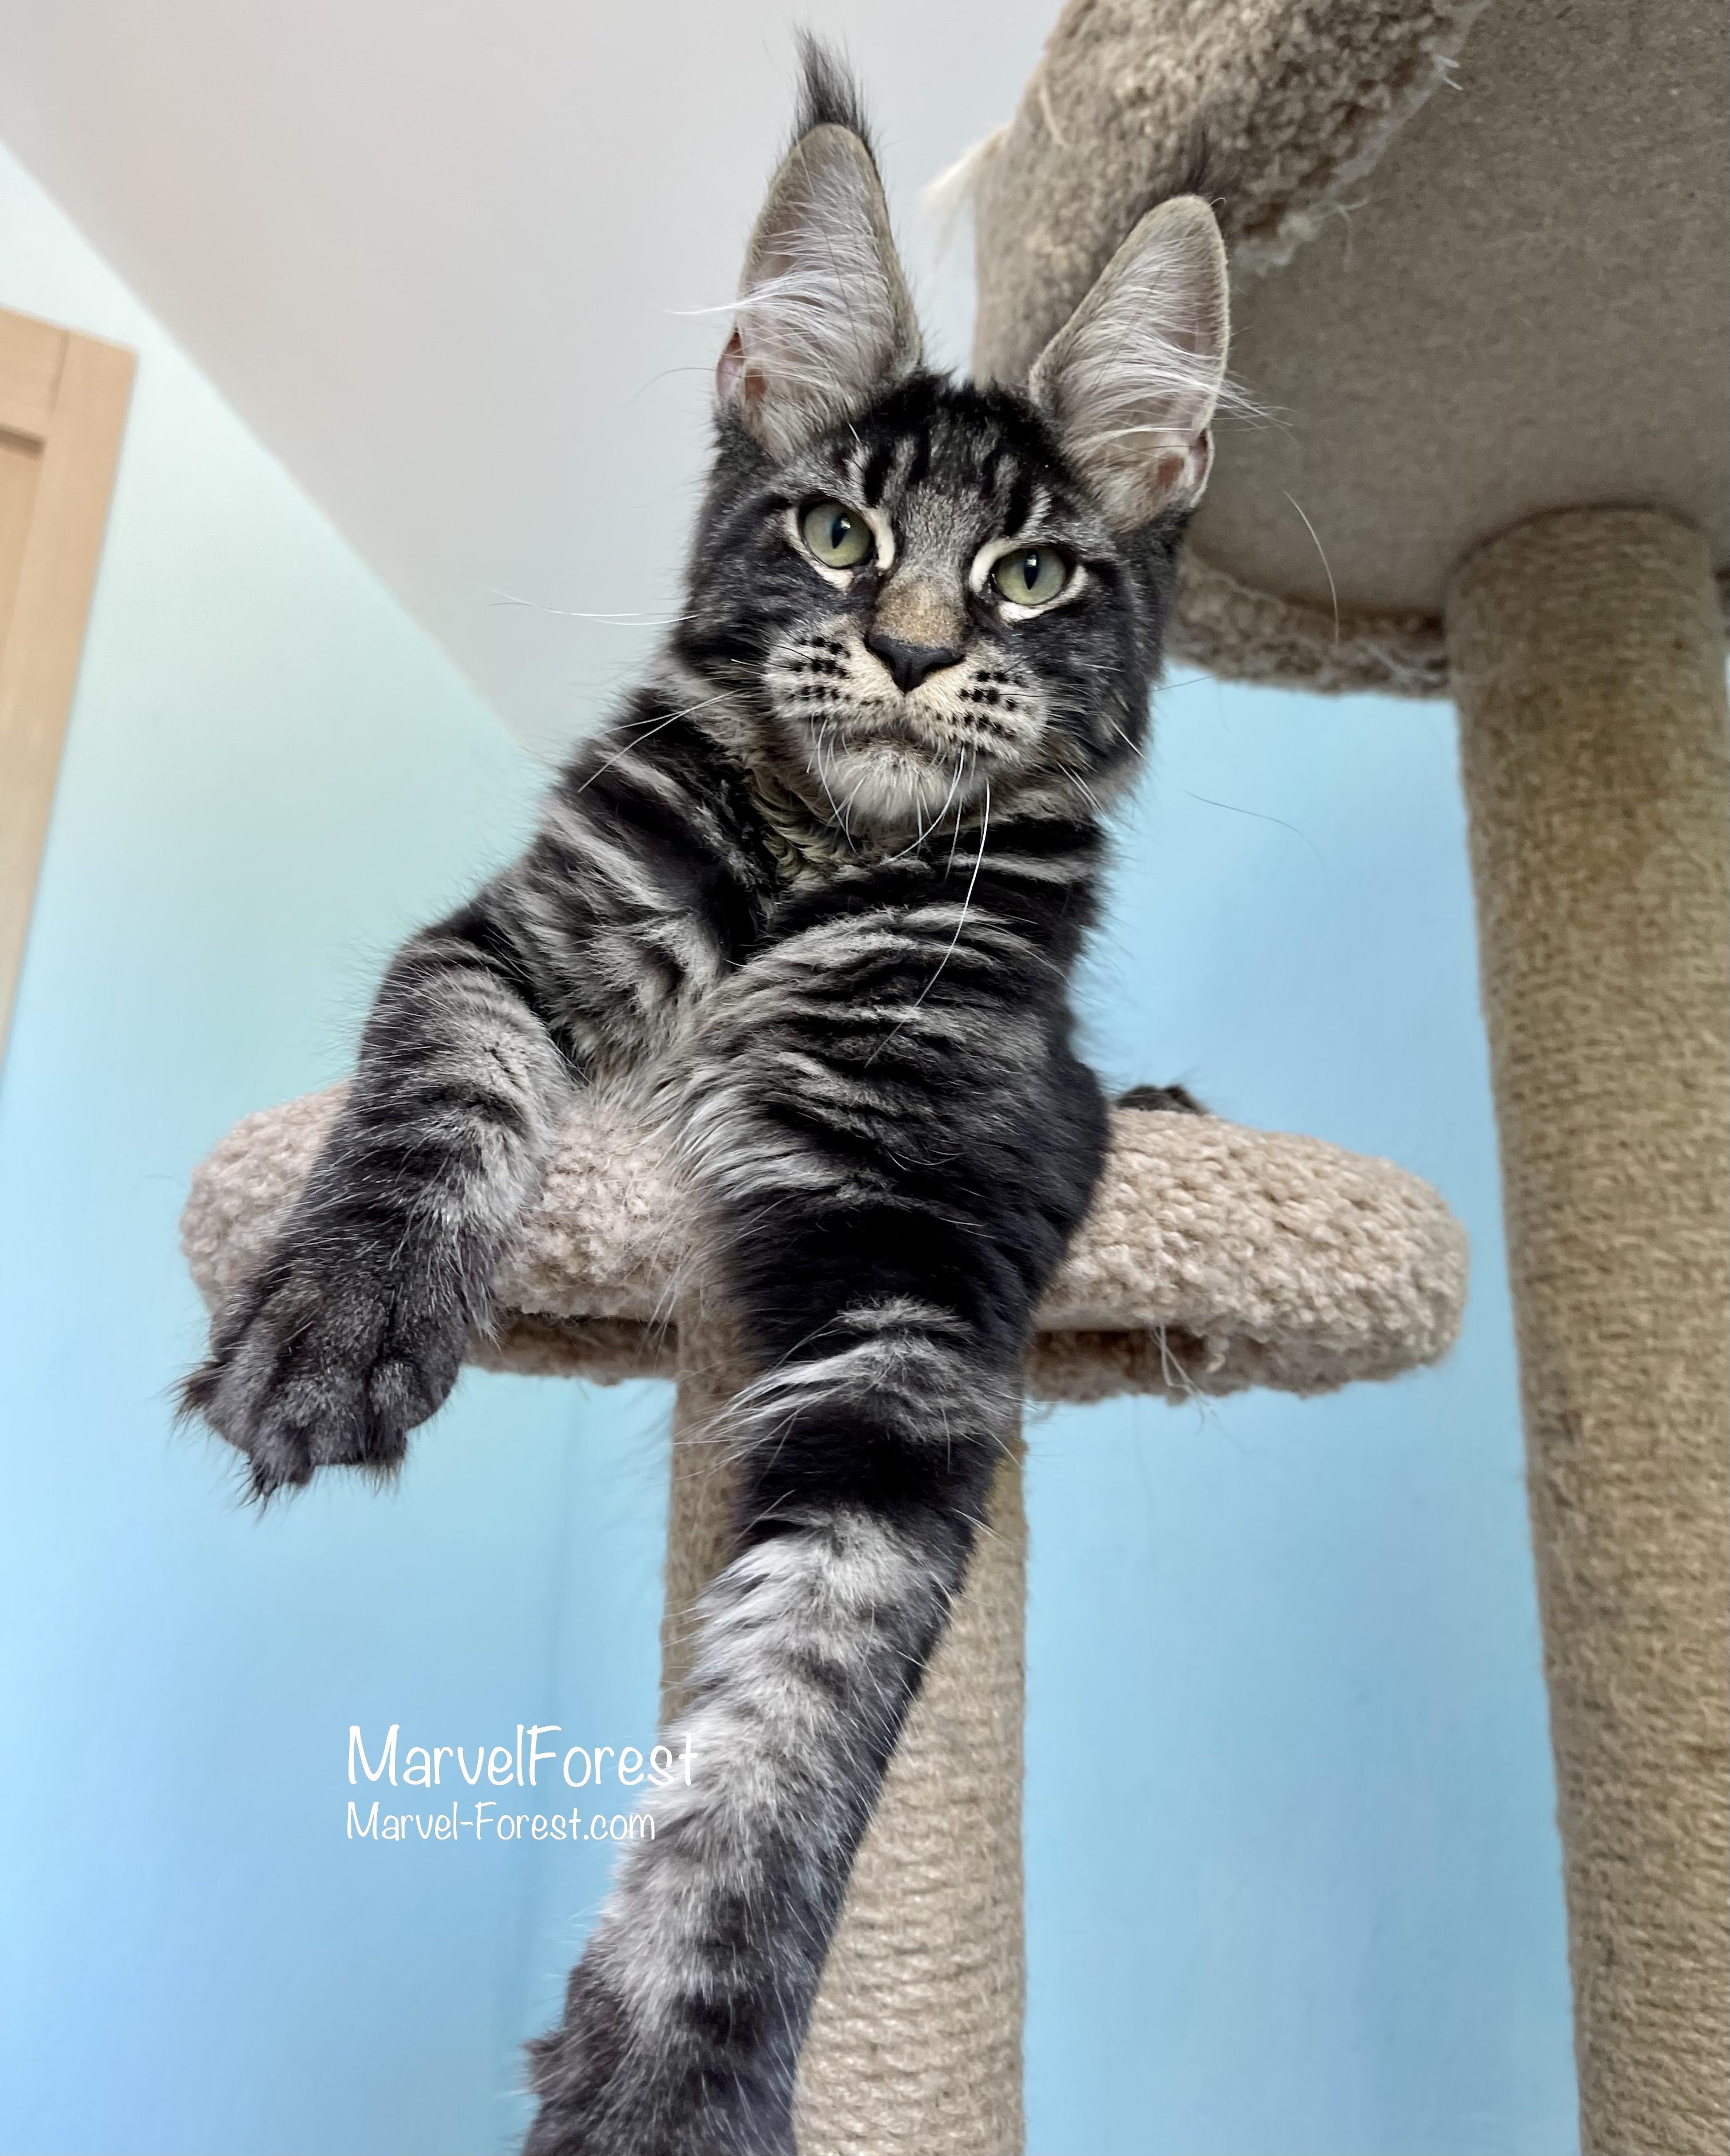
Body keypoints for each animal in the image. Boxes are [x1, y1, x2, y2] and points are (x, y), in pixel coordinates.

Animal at [182, 42, 1229, 2156]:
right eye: (834, 534)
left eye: (1028, 574)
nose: (908, 648)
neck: (817, 863)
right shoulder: (499, 945)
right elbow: (430, 1105)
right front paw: (336, 1320)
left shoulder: (921, 1271)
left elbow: (797, 1704)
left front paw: (671, 2067)